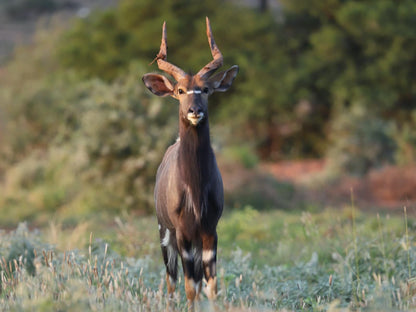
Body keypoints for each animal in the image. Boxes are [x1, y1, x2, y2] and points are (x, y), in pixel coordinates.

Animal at [142, 16, 237, 302]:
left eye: (205, 89)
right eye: (181, 90)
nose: (195, 111)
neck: (195, 187)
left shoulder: (209, 230)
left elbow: (211, 286)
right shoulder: (181, 232)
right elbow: (190, 287)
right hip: (165, 234)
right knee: (172, 281)